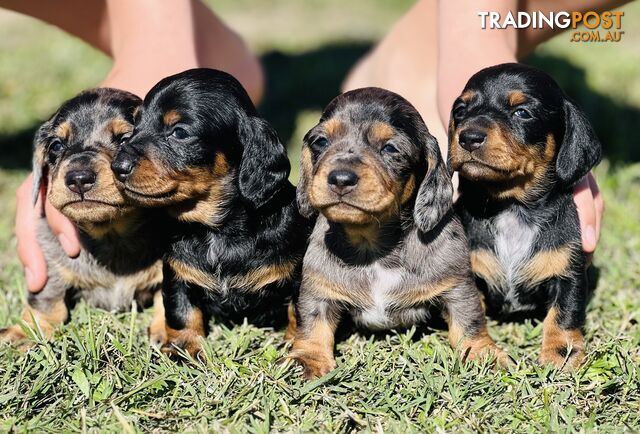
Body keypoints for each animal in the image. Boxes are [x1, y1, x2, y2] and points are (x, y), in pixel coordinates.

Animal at [1, 89, 166, 346]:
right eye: (56, 146)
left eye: (125, 139)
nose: (79, 178)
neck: (111, 236)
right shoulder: (49, 260)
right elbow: (47, 300)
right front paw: (28, 331)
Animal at [112, 68, 312, 356]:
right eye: (135, 126)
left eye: (179, 132)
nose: (117, 166)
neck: (216, 230)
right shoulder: (178, 274)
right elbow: (181, 311)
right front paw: (183, 349)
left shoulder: (298, 274)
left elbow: (298, 311)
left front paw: (294, 346)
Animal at [288, 86, 508, 378]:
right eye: (321, 142)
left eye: (390, 148)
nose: (340, 179)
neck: (373, 247)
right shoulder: (319, 288)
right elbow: (312, 321)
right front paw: (308, 358)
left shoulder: (457, 285)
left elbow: (469, 318)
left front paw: (483, 352)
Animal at [448, 63, 604, 370]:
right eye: (460, 110)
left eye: (522, 112)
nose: (468, 137)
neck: (511, 206)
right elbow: (469, 314)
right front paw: (481, 351)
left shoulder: (569, 274)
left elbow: (564, 314)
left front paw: (561, 353)